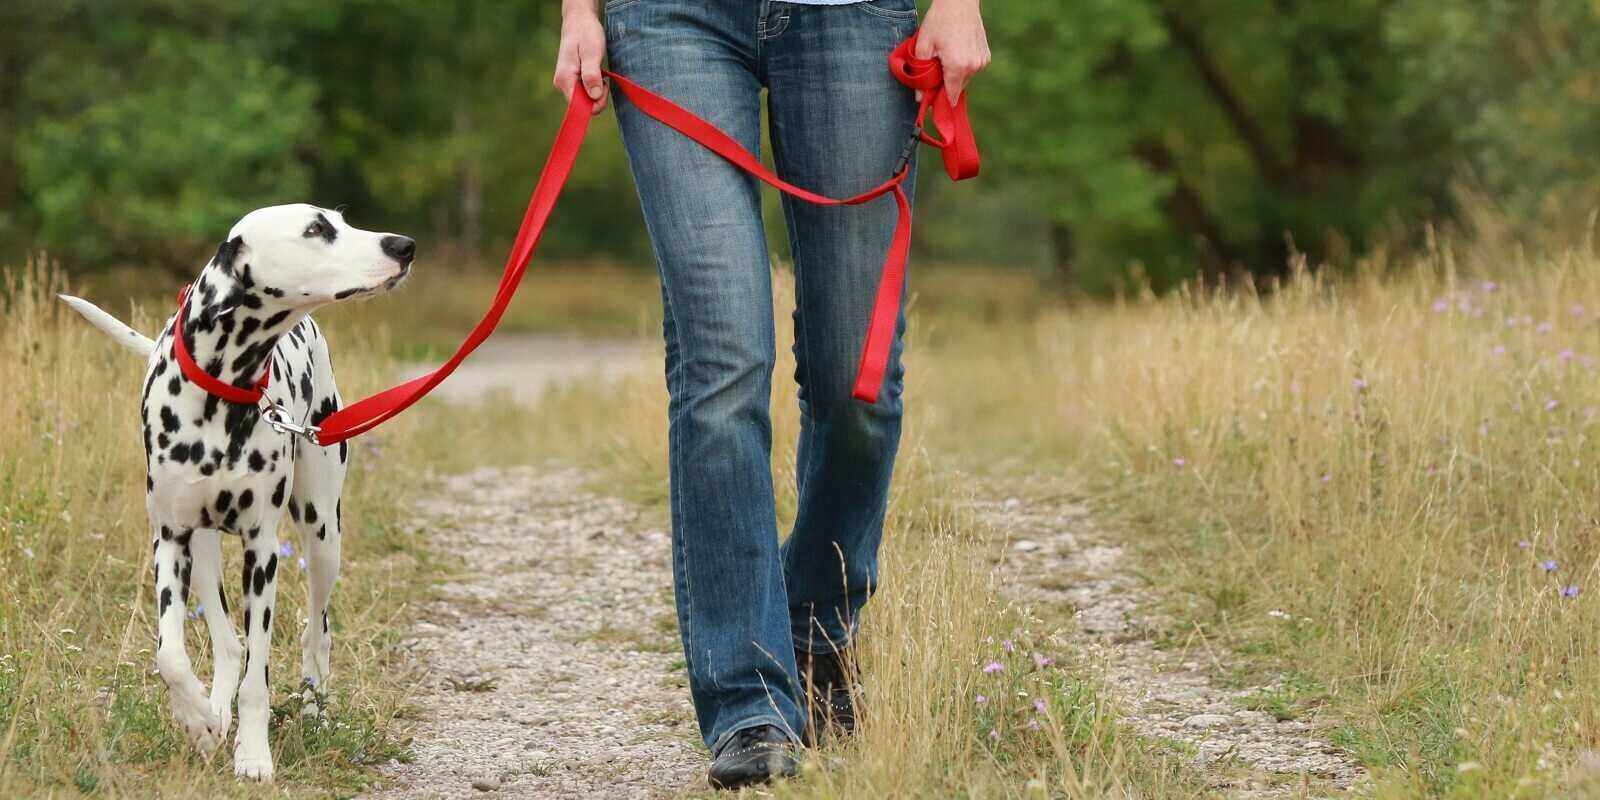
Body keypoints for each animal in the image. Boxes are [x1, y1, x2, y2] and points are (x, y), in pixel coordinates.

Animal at [59, 203, 416, 777]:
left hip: (323, 536)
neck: (221, 389)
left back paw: (311, 710)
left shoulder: (262, 550)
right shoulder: (169, 540)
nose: (404, 246)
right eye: (316, 229)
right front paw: (198, 721)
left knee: (316, 631)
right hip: (203, 552)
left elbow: (258, 676)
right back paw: (213, 712)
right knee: (226, 644)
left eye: (338, 220)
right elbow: (170, 656)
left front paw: (252, 754)